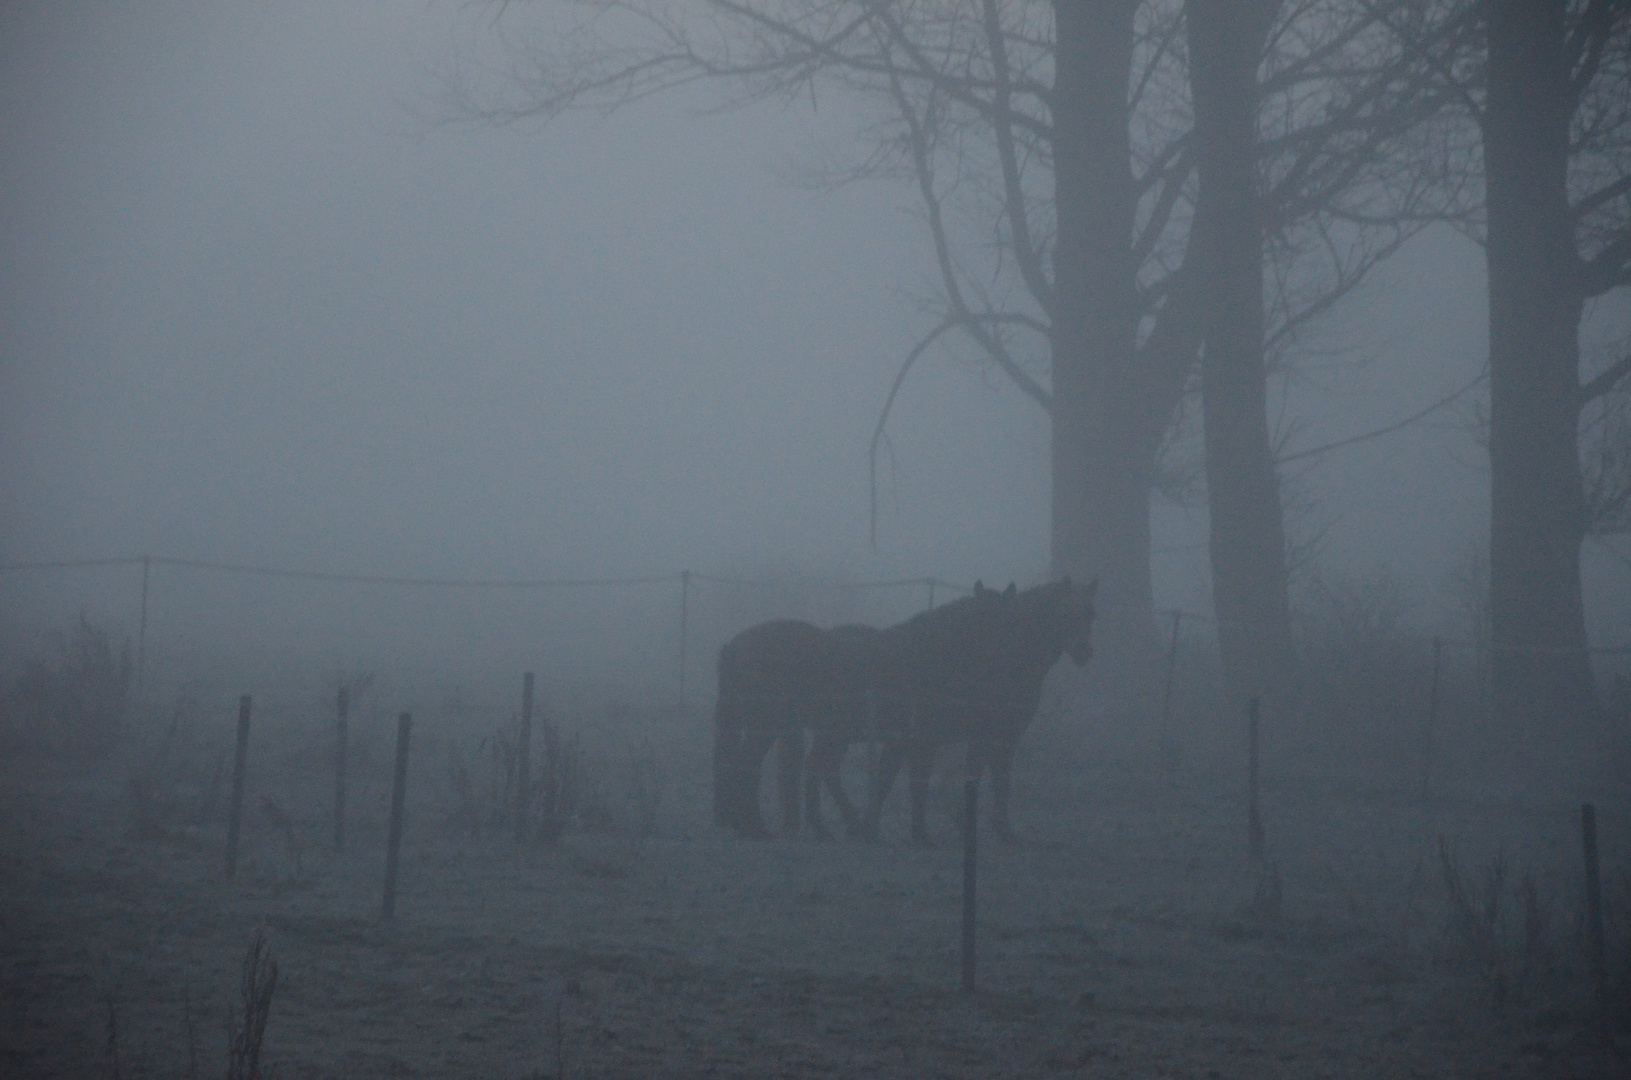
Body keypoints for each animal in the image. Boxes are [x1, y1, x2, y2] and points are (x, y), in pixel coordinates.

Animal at [854, 580, 1096, 848]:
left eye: (1091, 613)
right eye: (1064, 613)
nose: (1083, 651)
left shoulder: (1003, 736)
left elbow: (1000, 781)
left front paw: (1002, 830)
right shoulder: (973, 736)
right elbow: (970, 777)